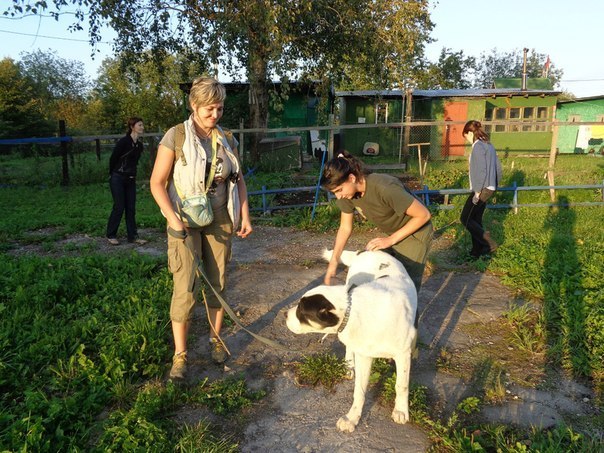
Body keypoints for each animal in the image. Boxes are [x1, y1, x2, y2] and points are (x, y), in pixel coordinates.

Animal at [286, 249, 418, 432]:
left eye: (301, 311)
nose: (285, 315)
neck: (356, 310)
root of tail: (364, 251)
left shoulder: (403, 353)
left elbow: (401, 385)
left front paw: (400, 410)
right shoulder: (364, 355)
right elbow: (359, 390)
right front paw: (352, 417)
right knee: (349, 347)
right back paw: (348, 365)